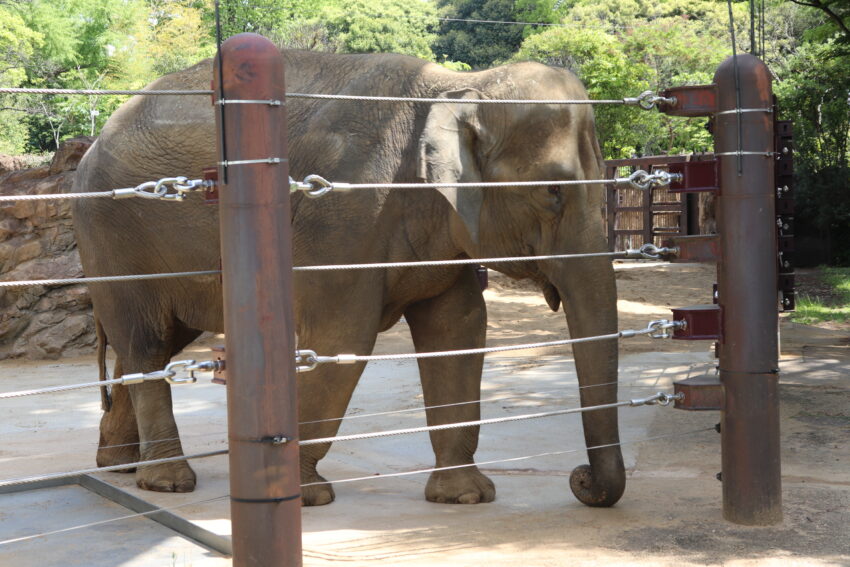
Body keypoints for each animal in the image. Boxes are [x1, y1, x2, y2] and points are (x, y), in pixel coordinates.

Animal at [73, 46, 624, 508]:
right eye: (553, 191)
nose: (580, 480)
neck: (457, 87)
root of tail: (90, 146)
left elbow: (459, 328)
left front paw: (464, 497)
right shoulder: (343, 210)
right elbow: (341, 337)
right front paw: (305, 495)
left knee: (156, 342)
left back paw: (119, 465)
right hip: (113, 233)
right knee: (146, 342)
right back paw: (167, 481)